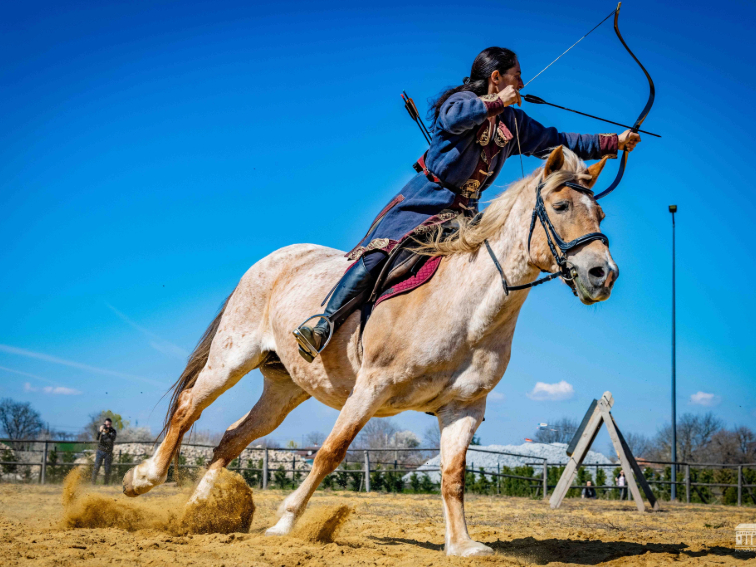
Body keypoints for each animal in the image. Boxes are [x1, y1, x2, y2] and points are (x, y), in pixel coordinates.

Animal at [124, 148, 616, 560]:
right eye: (561, 208)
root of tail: (271, 260)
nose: (602, 274)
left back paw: (198, 511)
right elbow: (330, 453)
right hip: (231, 359)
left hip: (284, 389)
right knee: (189, 408)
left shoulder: (463, 409)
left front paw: (462, 545)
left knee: (233, 436)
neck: (464, 308)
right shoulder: (372, 388)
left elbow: (453, 477)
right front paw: (284, 523)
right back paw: (143, 479)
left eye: (600, 213)